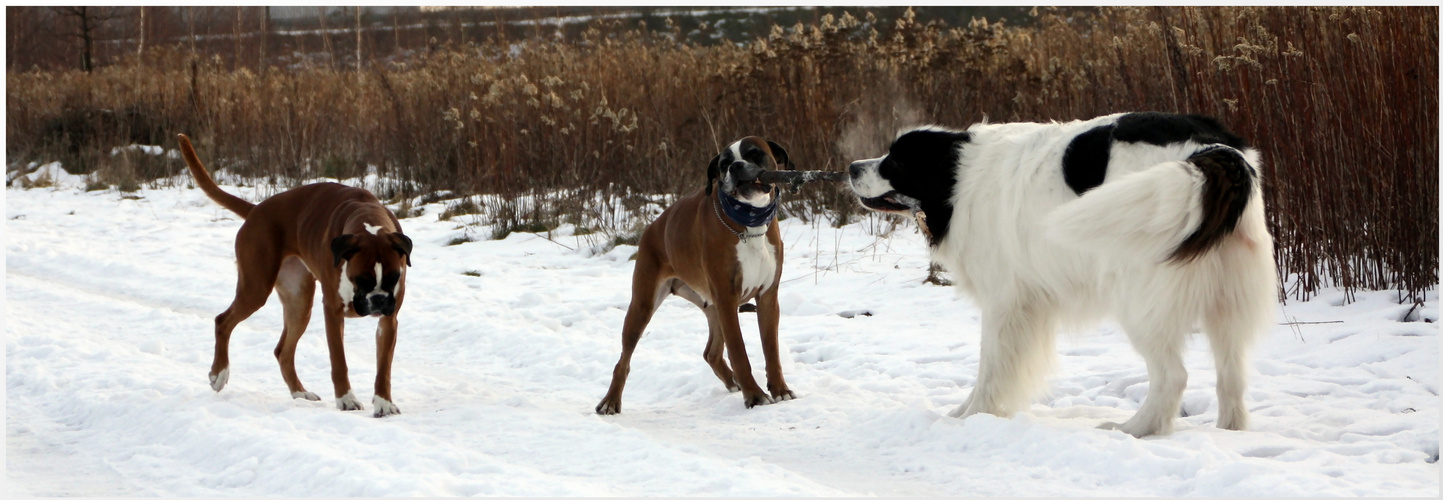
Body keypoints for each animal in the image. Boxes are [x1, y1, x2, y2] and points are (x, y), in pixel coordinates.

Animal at [177, 134, 412, 417]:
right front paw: (345, 399)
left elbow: (383, 368)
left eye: (393, 277)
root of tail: (256, 210)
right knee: (223, 321)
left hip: (299, 303)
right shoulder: (333, 312)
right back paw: (219, 374)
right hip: (257, 288)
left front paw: (383, 402)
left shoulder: (389, 320)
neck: (369, 223)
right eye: (361, 279)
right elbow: (339, 361)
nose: (378, 300)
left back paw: (300, 392)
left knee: (283, 351)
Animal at [597, 136, 802, 414]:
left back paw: (733, 380)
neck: (750, 222)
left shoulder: (767, 298)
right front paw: (755, 396)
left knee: (711, 353)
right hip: (643, 305)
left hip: (713, 309)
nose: (736, 166)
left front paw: (780, 390)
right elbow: (739, 351)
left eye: (754, 153)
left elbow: (771, 350)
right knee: (624, 360)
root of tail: (652, 227)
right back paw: (610, 401)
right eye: (724, 164)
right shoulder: (727, 298)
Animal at [848, 111, 1281, 438]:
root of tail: (1213, 148)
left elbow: (991, 368)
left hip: (1140, 300)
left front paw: (972, 416)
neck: (958, 177)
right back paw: (1229, 430)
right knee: (1231, 375)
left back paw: (1134, 429)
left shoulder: (1005, 303)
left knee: (1173, 376)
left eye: (896, 161)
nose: (851, 167)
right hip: (1227, 300)